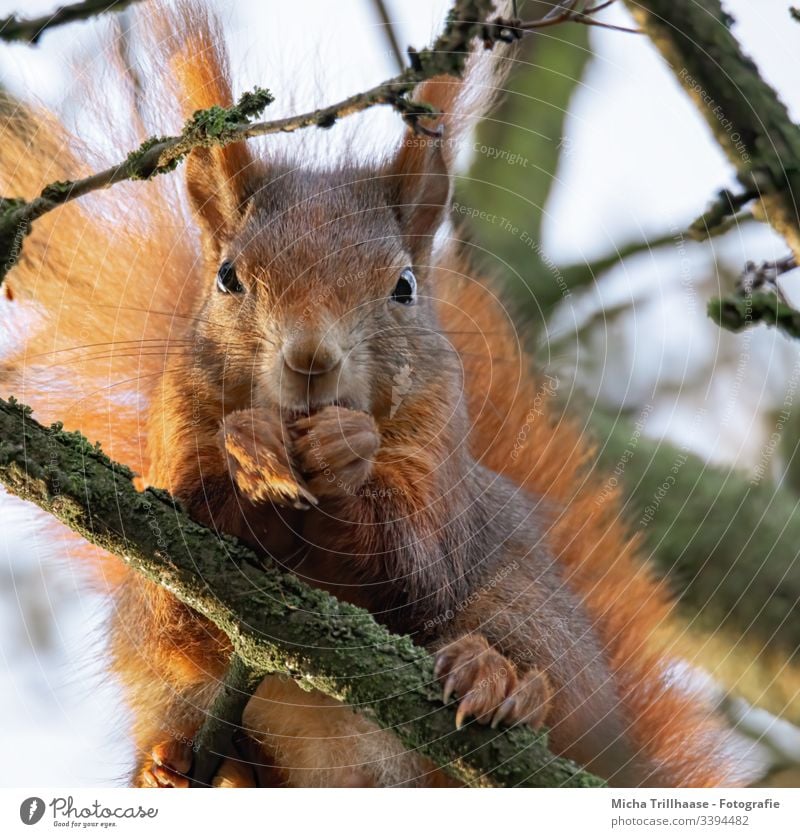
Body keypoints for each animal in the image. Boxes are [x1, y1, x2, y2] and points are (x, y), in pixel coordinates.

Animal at [1, 0, 752, 788]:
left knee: (540, 667)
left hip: (537, 610)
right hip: (166, 689)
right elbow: (175, 607)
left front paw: (346, 450)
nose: (311, 358)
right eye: (228, 277)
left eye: (404, 286)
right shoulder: (169, 458)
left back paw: (499, 678)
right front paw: (250, 446)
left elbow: (414, 560)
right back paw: (183, 767)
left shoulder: (438, 454)